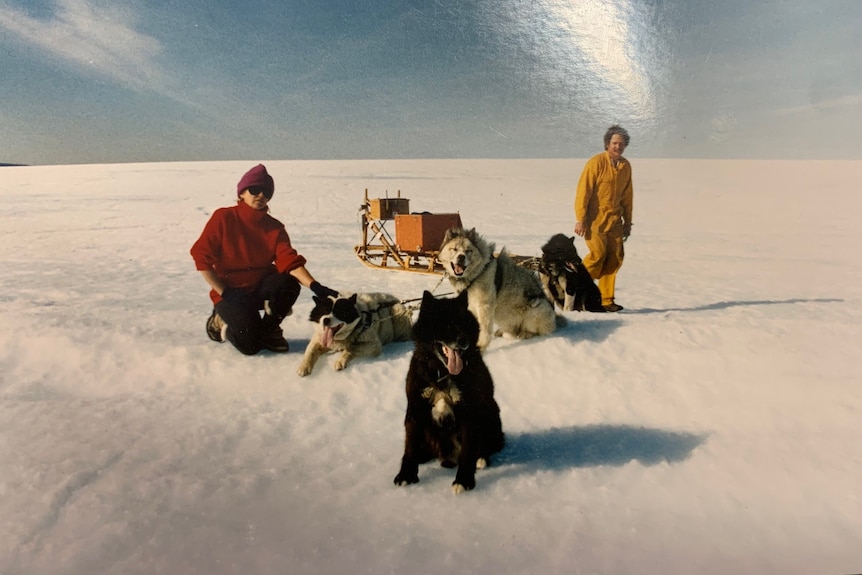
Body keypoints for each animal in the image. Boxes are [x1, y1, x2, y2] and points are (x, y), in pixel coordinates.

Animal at [396, 292, 510, 496]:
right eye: (446, 323)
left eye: (463, 322)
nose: (463, 341)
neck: (442, 373)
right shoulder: (415, 409)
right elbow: (409, 446)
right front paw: (406, 475)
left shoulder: (470, 414)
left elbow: (467, 452)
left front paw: (463, 480)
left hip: (491, 412)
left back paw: (481, 459)